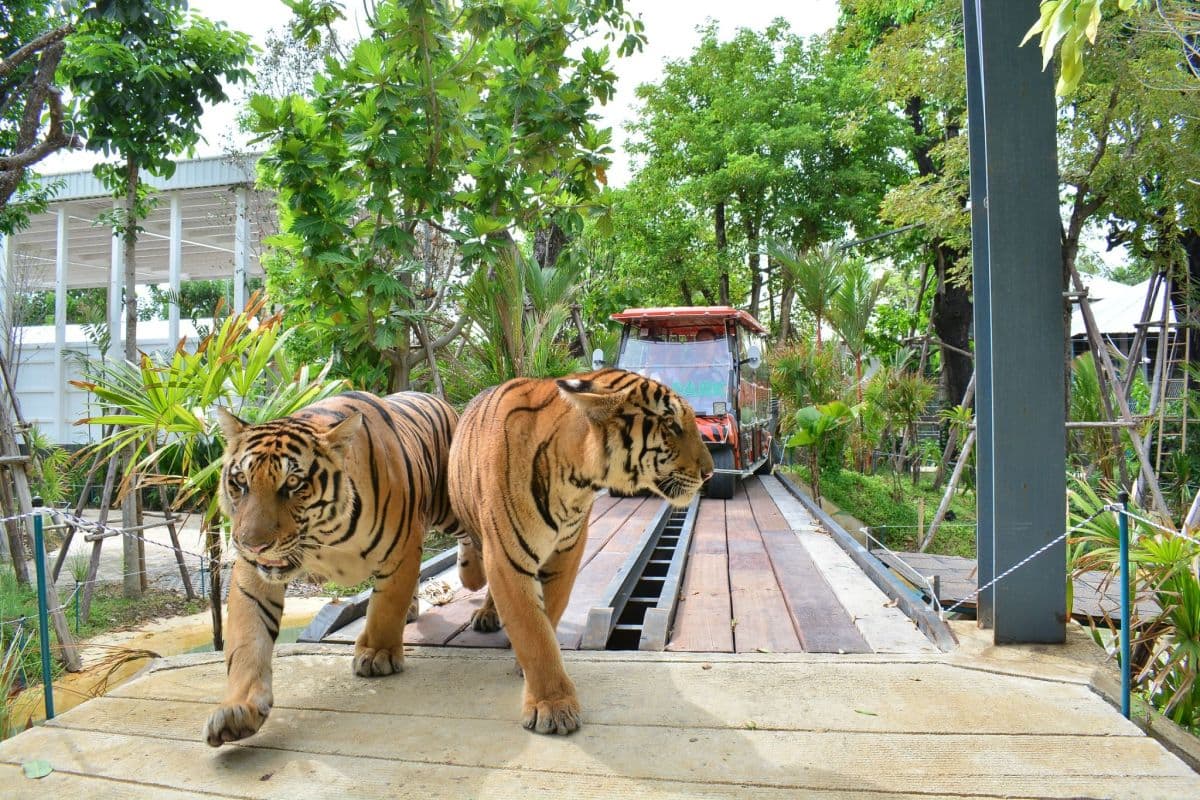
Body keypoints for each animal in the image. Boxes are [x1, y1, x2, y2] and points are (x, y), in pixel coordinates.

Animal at [203, 391, 461, 747]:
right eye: (241, 482)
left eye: (293, 483)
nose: (253, 545)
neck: (324, 536)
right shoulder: (253, 575)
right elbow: (247, 641)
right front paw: (238, 709)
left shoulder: (402, 549)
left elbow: (385, 607)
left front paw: (377, 653)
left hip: (454, 510)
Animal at [448, 368, 714, 735]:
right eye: (671, 425)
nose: (710, 472)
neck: (576, 479)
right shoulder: (507, 556)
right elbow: (533, 629)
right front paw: (552, 705)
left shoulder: (567, 552)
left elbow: (548, 615)